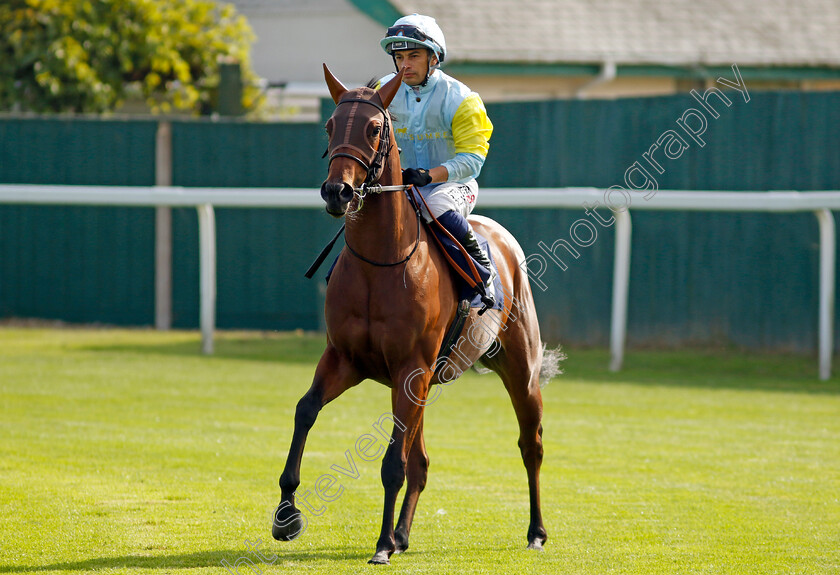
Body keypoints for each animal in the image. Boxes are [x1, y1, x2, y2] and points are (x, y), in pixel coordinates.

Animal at [272, 65, 556, 564]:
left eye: (374, 128)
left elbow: (392, 463)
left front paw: (382, 544)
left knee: (530, 445)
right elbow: (306, 411)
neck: (381, 262)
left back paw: (535, 531)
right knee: (421, 461)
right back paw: (404, 534)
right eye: (329, 126)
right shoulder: (347, 360)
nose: (337, 191)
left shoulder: (412, 367)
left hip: (519, 370)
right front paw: (287, 514)